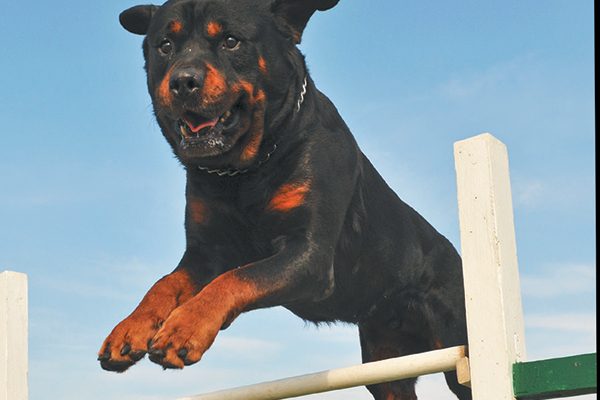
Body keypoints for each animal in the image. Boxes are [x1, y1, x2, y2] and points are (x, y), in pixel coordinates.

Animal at [98, 1, 472, 398]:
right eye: (165, 46)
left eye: (231, 41)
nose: (183, 81)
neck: (242, 173)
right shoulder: (205, 254)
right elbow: (164, 284)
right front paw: (128, 331)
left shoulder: (308, 253)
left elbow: (236, 278)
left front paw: (184, 329)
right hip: (384, 367)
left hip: (458, 349)